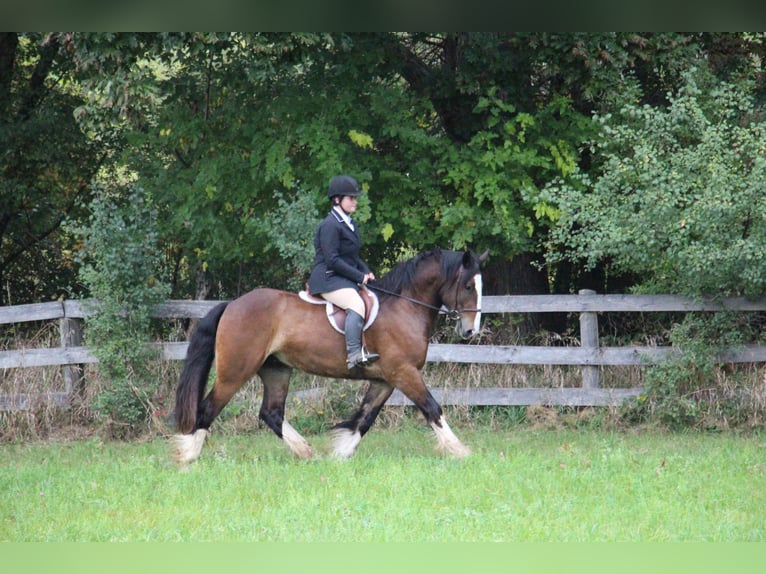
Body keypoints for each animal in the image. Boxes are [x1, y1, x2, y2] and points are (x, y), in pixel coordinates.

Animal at [172, 249, 488, 468]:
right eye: (468, 286)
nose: (470, 331)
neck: (403, 307)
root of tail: (232, 305)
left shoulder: (385, 379)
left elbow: (365, 417)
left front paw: (339, 455)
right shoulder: (404, 373)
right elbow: (432, 408)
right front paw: (460, 451)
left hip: (276, 370)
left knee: (271, 413)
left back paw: (306, 452)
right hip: (235, 372)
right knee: (207, 409)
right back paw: (187, 458)